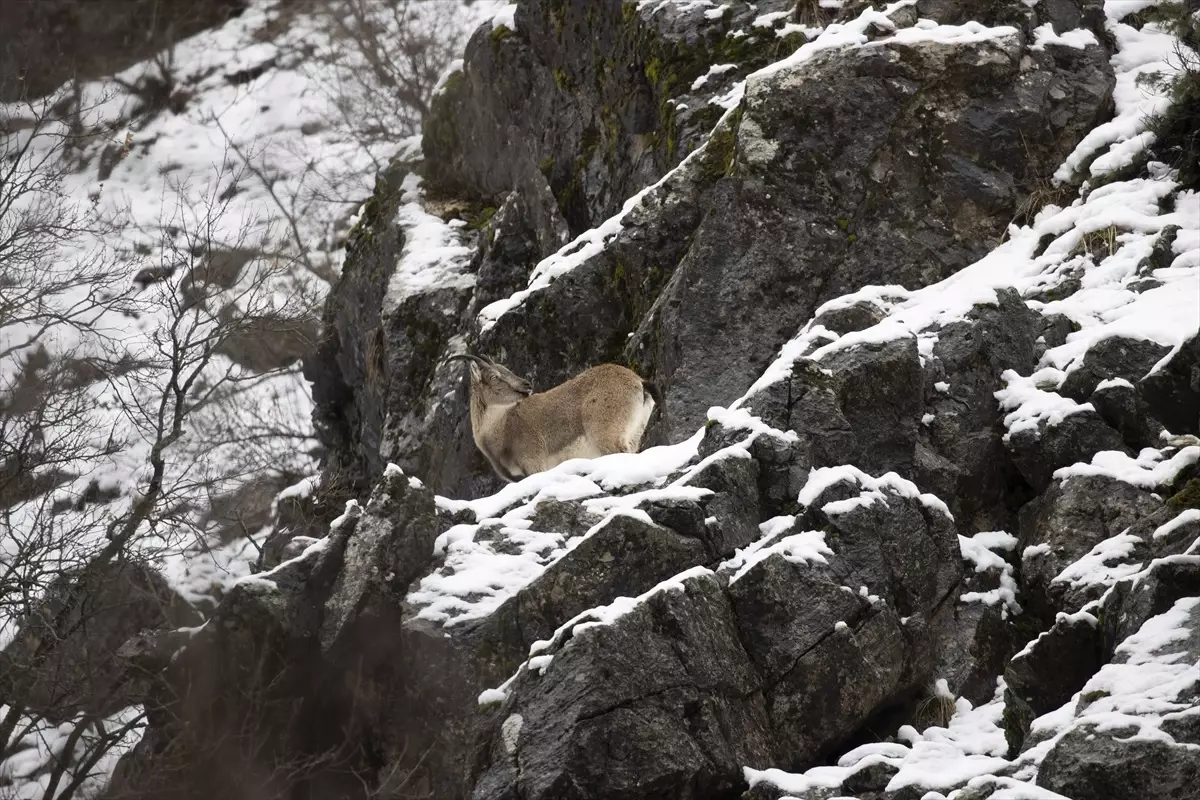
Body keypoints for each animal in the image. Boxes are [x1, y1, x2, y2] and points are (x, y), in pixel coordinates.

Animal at [446, 355, 662, 482]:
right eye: (494, 376)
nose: (526, 385)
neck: (504, 429)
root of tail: (639, 382)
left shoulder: (534, 462)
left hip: (606, 433)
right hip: (634, 434)